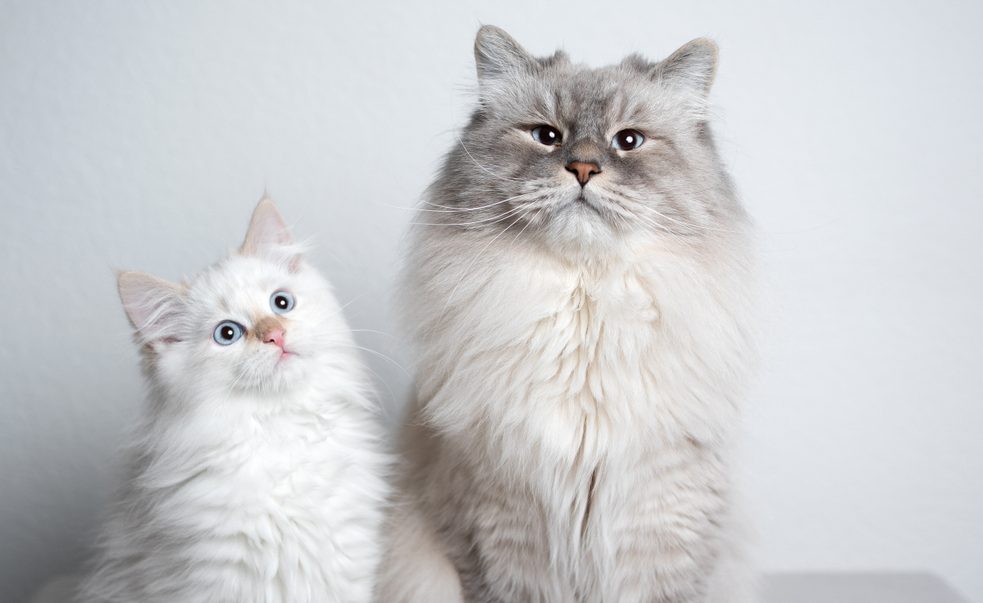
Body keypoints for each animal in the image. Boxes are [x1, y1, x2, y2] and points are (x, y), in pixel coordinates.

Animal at [380, 26, 756, 600]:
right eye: (546, 135)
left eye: (629, 141)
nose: (583, 168)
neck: (587, 310)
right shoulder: (501, 537)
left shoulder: (664, 534)